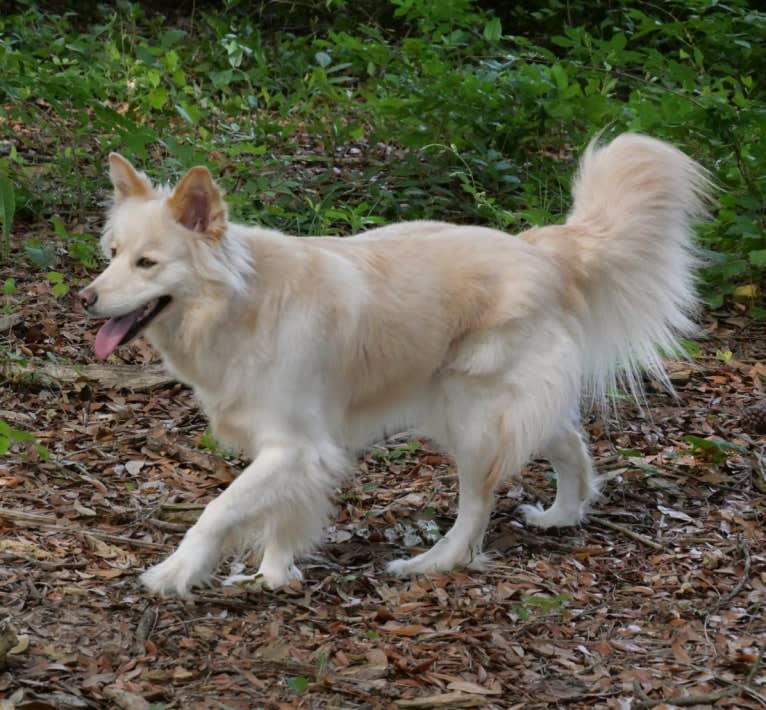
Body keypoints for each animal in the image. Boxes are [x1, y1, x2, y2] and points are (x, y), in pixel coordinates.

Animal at [79, 132, 712, 596]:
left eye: (146, 263)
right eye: (112, 255)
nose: (85, 298)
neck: (242, 302)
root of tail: (538, 249)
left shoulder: (297, 446)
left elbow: (218, 510)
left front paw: (176, 572)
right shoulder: (291, 451)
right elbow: (280, 514)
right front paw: (275, 574)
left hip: (472, 416)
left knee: (477, 507)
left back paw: (433, 563)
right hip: (477, 406)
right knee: (566, 439)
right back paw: (564, 513)